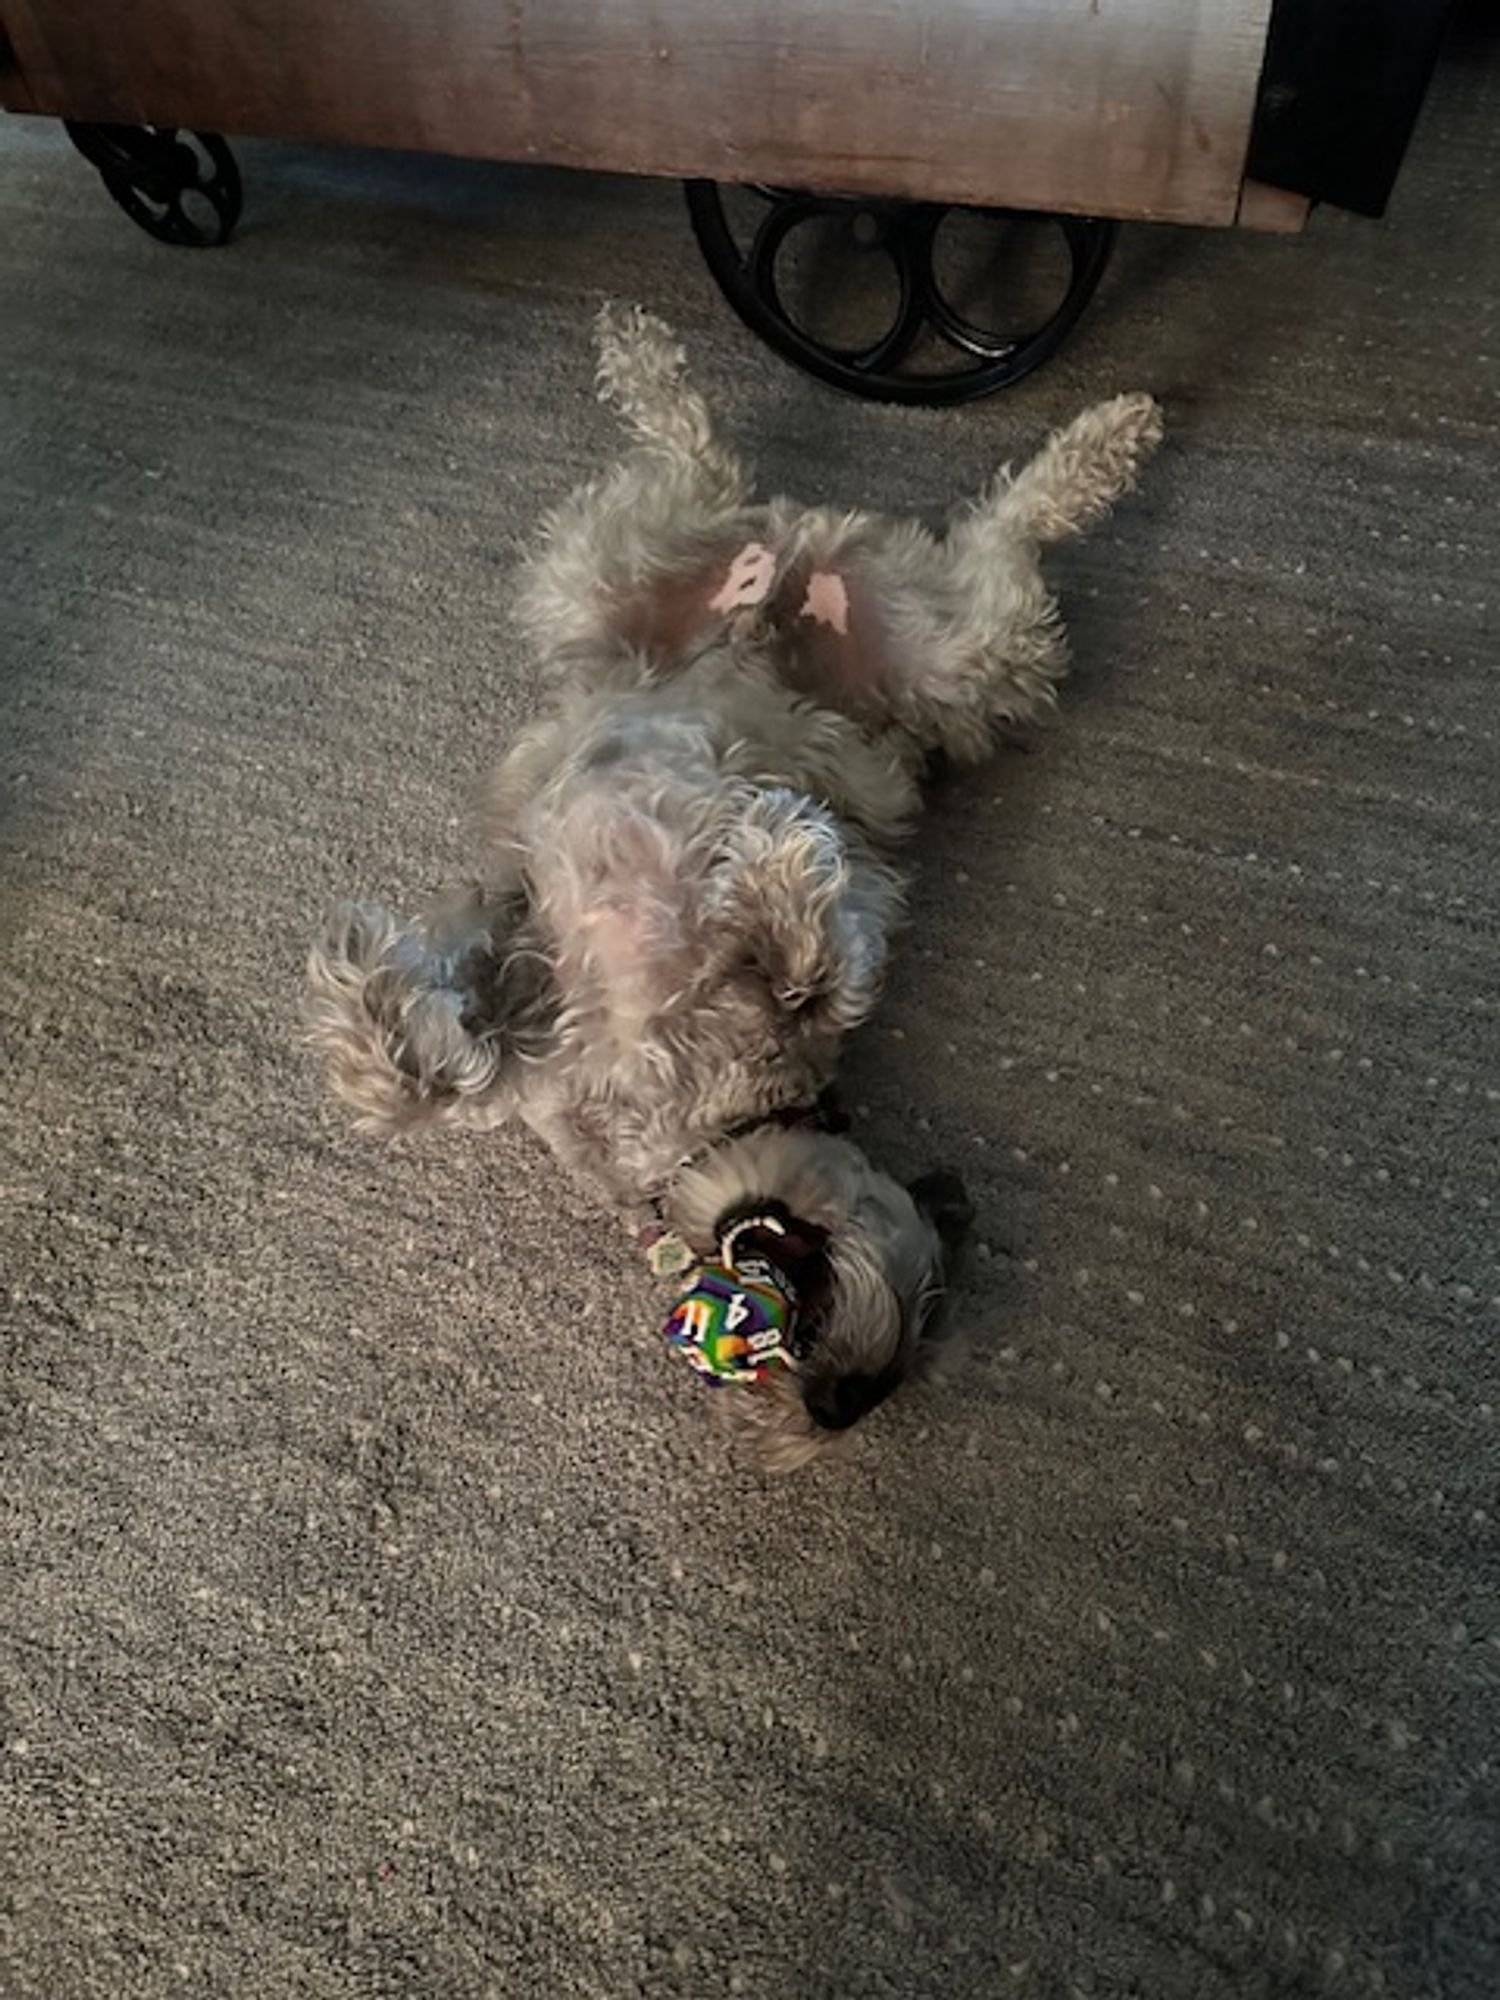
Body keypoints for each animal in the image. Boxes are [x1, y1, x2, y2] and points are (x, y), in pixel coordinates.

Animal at [312, 312, 1168, 1472]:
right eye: (918, 1304)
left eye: (902, 1355)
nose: (835, 1401)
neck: (686, 1123)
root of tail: (797, 563)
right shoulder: (530, 999)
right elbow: (433, 1073)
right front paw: (366, 1005)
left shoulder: (850, 910)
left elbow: (818, 953)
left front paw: (768, 859)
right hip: (609, 577)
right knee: (718, 461)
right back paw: (647, 359)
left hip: (965, 660)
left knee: (988, 525)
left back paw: (1109, 431)